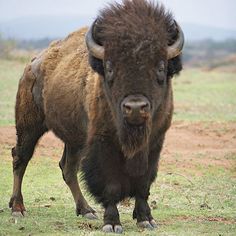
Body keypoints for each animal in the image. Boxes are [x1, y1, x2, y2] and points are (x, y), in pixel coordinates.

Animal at [10, 0, 184, 233]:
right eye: (110, 68)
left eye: (161, 67)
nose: (135, 107)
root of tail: (33, 64)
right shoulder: (103, 144)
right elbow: (110, 184)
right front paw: (112, 223)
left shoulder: (154, 143)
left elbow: (143, 181)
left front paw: (146, 219)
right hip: (29, 126)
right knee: (20, 158)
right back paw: (17, 208)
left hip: (75, 140)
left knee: (68, 168)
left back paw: (86, 210)